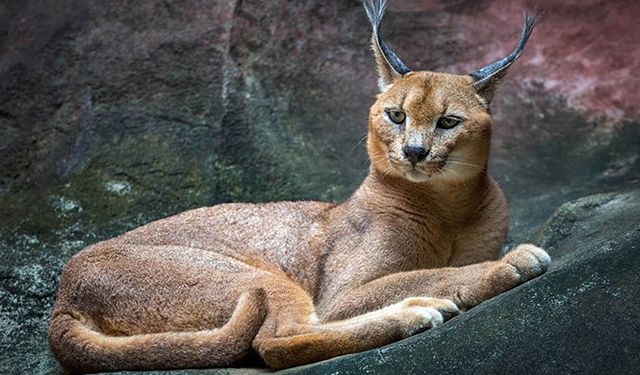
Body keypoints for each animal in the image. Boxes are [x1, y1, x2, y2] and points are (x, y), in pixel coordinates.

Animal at [50, 0, 552, 374]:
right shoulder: (341, 296)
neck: (449, 205)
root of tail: (63, 294)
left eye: (448, 122)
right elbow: (428, 272)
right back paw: (413, 312)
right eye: (396, 115)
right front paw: (505, 264)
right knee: (276, 343)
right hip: (254, 278)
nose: (413, 151)